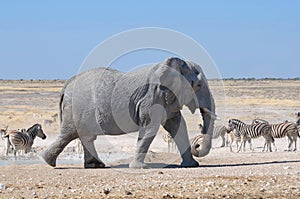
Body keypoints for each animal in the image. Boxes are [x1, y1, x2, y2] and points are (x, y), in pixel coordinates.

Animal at [42, 57, 216, 168]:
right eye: (198, 85)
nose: (197, 145)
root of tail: (67, 84)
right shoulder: (151, 99)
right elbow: (150, 128)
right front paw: (139, 167)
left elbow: (178, 126)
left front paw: (191, 165)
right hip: (78, 107)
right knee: (71, 133)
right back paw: (48, 162)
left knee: (85, 136)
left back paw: (96, 166)